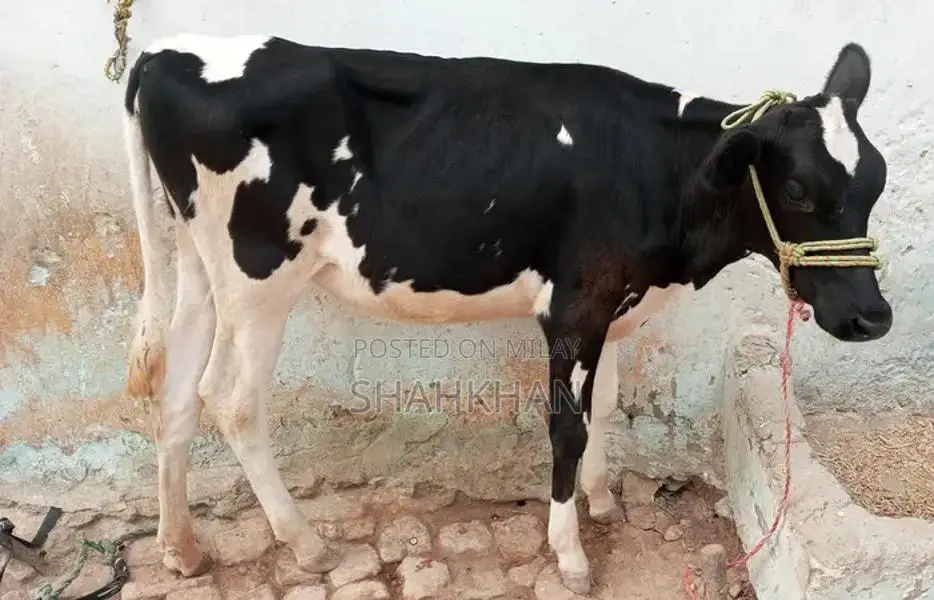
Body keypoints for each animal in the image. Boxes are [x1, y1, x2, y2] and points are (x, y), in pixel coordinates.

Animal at [121, 33, 892, 594]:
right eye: (796, 189)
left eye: (877, 184)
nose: (873, 318)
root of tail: (163, 53)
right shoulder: (575, 305)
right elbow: (566, 427)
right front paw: (570, 554)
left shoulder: (612, 301)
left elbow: (605, 405)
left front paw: (603, 503)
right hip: (258, 281)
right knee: (232, 401)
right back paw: (306, 544)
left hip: (199, 267)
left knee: (177, 392)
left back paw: (182, 548)